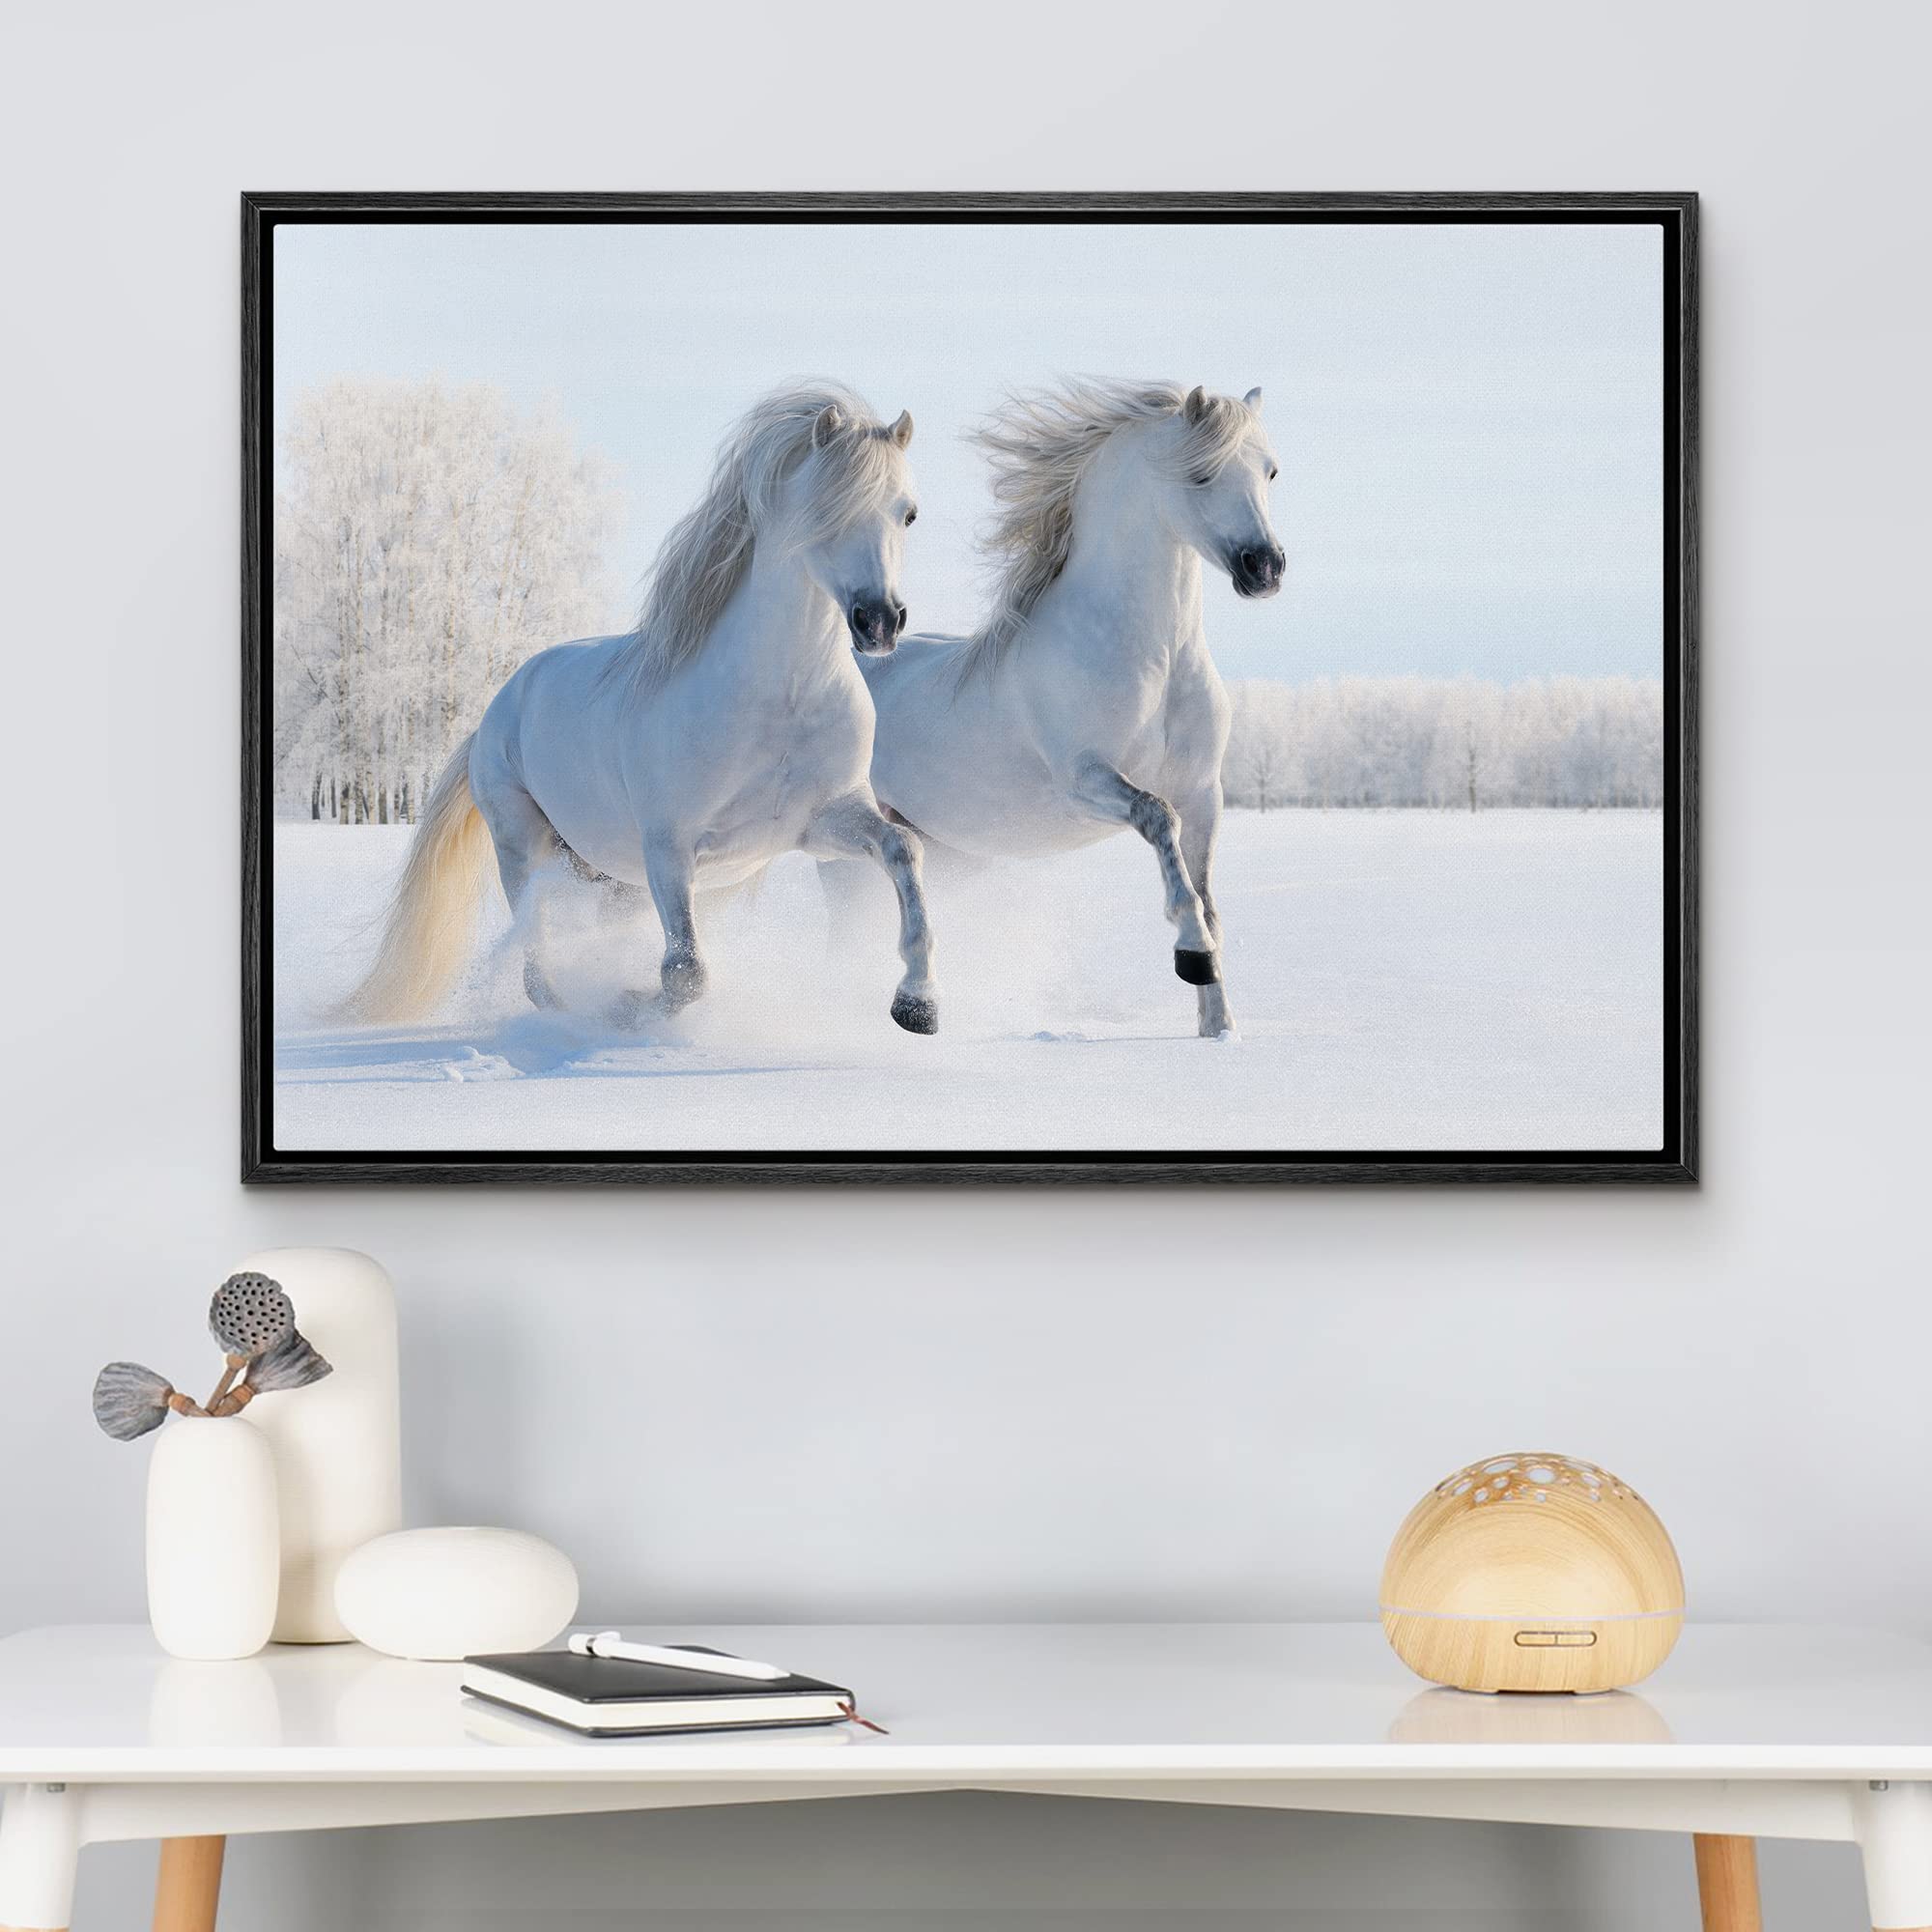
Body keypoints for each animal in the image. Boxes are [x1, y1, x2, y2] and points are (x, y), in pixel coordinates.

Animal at [341, 383, 941, 1036]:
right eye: (826, 510)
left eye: (908, 513)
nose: (879, 622)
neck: (780, 701)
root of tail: (497, 708)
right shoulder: (669, 849)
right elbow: (685, 973)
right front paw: (627, 1008)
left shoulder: (821, 823)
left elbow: (903, 849)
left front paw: (917, 1004)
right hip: (523, 846)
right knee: (535, 961)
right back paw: (570, 1014)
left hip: (604, 875)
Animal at [832, 381, 1282, 1038]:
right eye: (1200, 474)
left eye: (1270, 471)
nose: (1265, 568)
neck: (1157, 659)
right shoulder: (1085, 780)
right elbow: (1158, 819)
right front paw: (1192, 956)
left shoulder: (1205, 793)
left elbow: (1208, 897)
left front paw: (1218, 1027)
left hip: (943, 849)